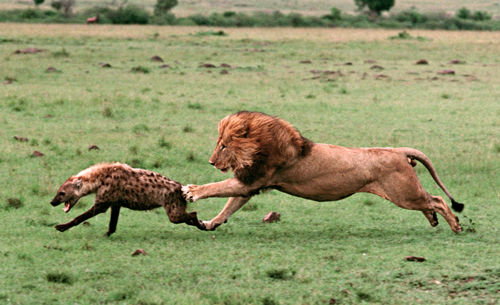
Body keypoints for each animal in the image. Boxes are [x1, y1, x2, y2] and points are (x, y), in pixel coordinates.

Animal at [183, 110, 464, 232]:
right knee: (430, 201)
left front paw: (191, 191)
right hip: (406, 194)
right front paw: (209, 223)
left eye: (223, 145)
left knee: (437, 199)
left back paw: (455, 225)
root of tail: (397, 151)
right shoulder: (251, 185)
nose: (210, 162)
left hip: (403, 194)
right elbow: (228, 207)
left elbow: (216, 188)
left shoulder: (253, 180)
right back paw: (433, 220)